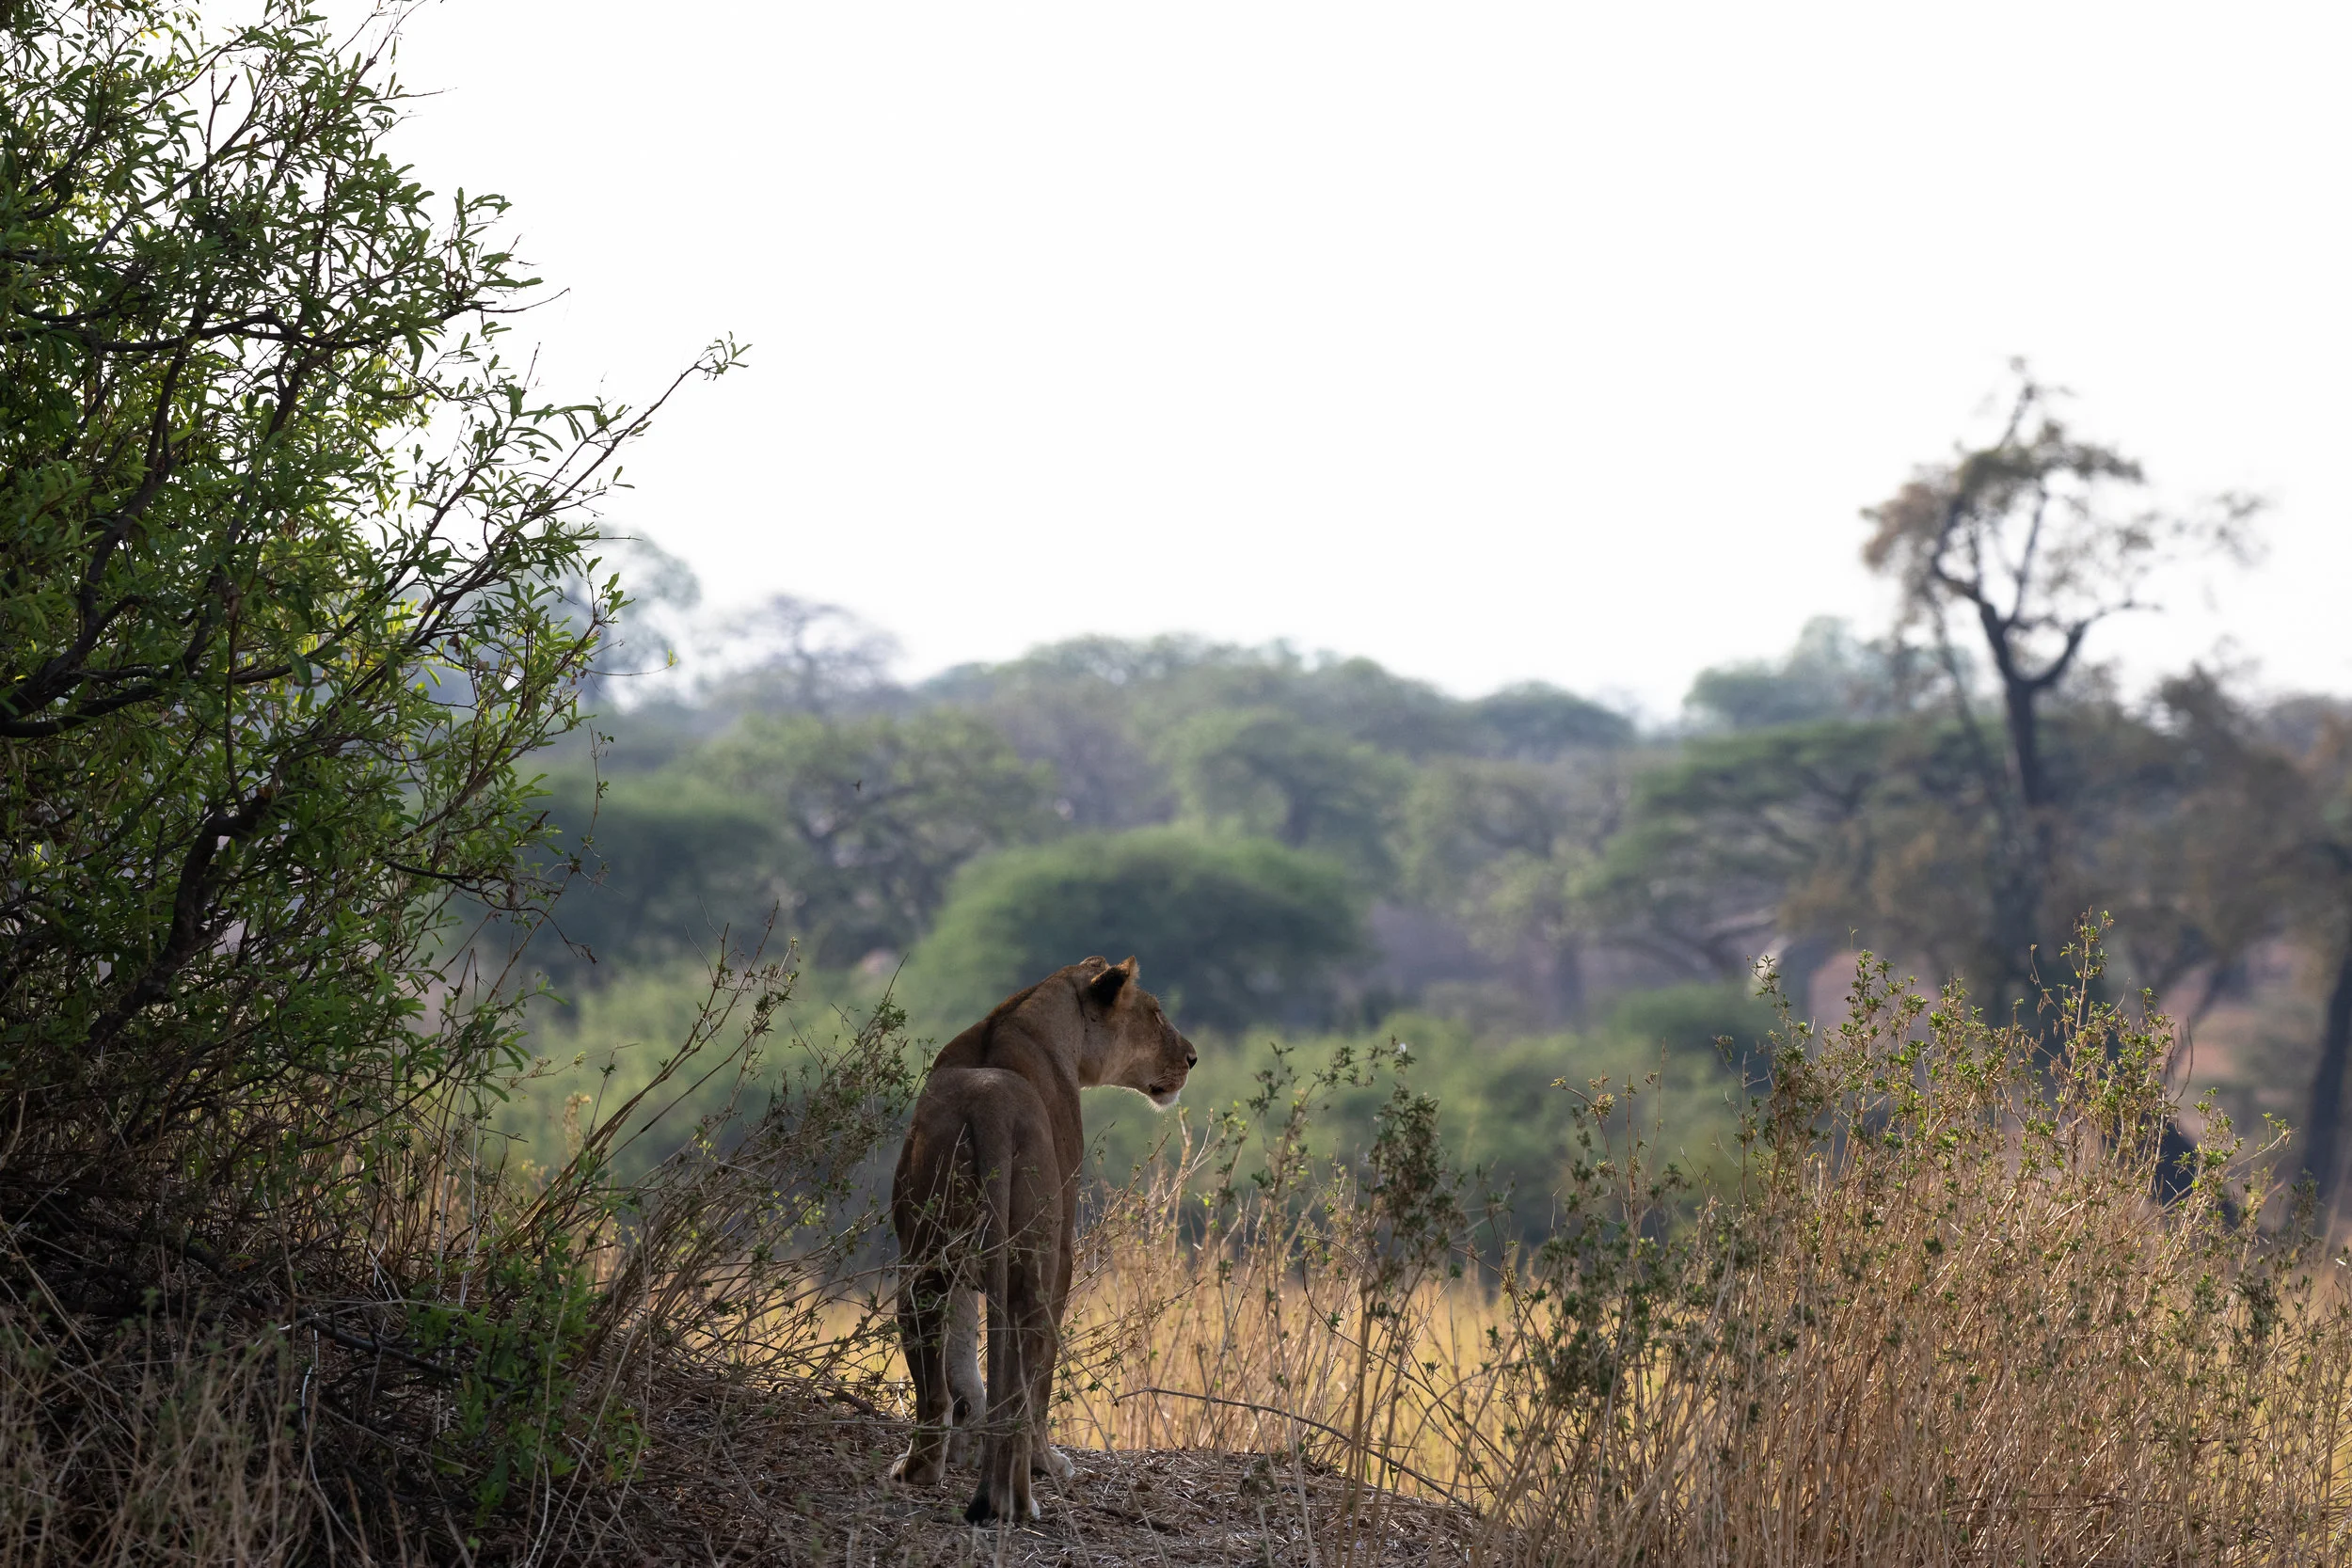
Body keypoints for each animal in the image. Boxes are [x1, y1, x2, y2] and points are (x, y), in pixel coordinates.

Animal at [887, 956, 1196, 1522]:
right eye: (1155, 1013)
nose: (1191, 1057)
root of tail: (990, 1105)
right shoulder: (1065, 1249)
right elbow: (1037, 1376)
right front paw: (1047, 1465)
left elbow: (964, 1366)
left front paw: (965, 1451)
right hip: (1037, 1258)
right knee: (1026, 1385)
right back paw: (1018, 1497)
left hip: (921, 1258)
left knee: (936, 1390)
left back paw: (921, 1469)